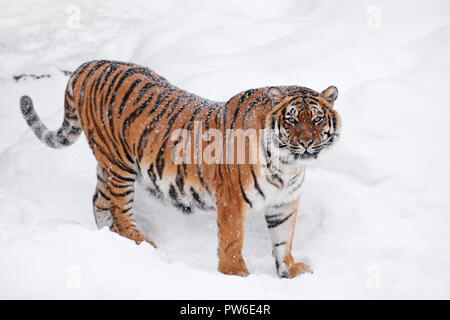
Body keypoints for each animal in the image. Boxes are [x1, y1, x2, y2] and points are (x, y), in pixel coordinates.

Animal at [19, 59, 340, 278]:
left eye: (317, 119)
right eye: (292, 120)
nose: (307, 143)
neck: (288, 166)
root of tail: (89, 65)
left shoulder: (284, 203)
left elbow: (283, 240)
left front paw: (290, 272)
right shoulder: (232, 199)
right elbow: (233, 239)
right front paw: (235, 275)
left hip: (107, 164)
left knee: (99, 200)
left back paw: (108, 238)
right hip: (119, 165)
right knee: (120, 209)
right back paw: (142, 244)